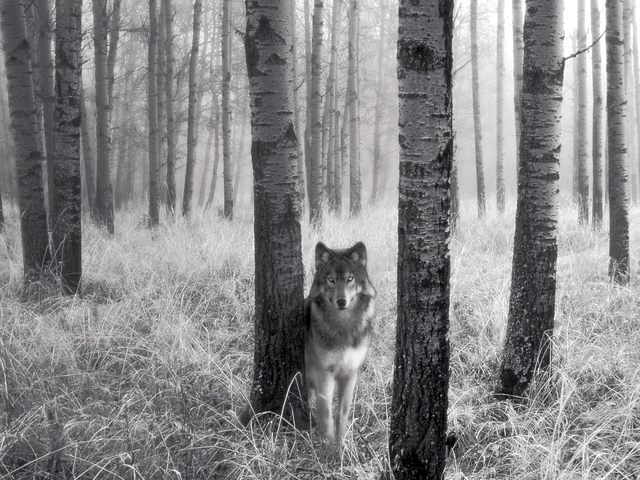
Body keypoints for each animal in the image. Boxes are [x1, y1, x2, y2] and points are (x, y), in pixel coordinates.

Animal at [305, 241, 376, 446]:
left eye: (350, 279)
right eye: (331, 280)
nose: (341, 301)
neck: (343, 326)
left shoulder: (350, 373)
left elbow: (342, 414)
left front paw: (341, 445)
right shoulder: (324, 374)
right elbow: (327, 413)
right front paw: (328, 446)